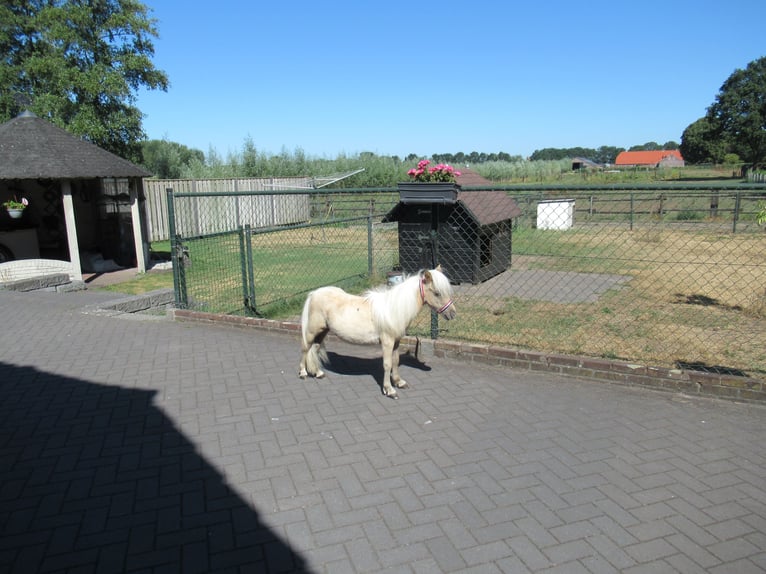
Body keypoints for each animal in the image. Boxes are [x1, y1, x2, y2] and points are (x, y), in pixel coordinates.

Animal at [299, 266, 456, 399]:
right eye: (437, 293)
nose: (452, 314)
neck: (394, 309)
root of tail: (314, 293)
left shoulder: (396, 341)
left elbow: (395, 361)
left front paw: (399, 382)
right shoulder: (387, 342)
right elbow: (387, 364)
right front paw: (389, 390)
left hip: (323, 331)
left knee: (315, 348)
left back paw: (318, 373)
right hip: (312, 331)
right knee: (305, 348)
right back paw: (303, 373)